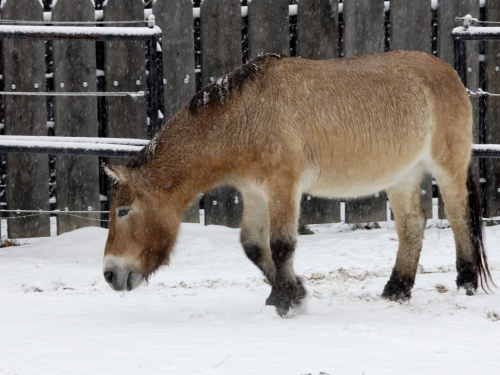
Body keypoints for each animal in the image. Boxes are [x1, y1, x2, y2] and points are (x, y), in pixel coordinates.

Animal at [101, 51, 492, 316]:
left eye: (123, 211)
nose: (109, 274)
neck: (244, 117)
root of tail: (449, 72)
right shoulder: (255, 192)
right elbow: (253, 246)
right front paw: (295, 292)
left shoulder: (283, 186)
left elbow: (282, 245)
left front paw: (284, 301)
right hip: (402, 176)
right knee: (412, 225)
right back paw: (396, 289)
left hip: (447, 168)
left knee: (459, 219)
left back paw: (466, 283)